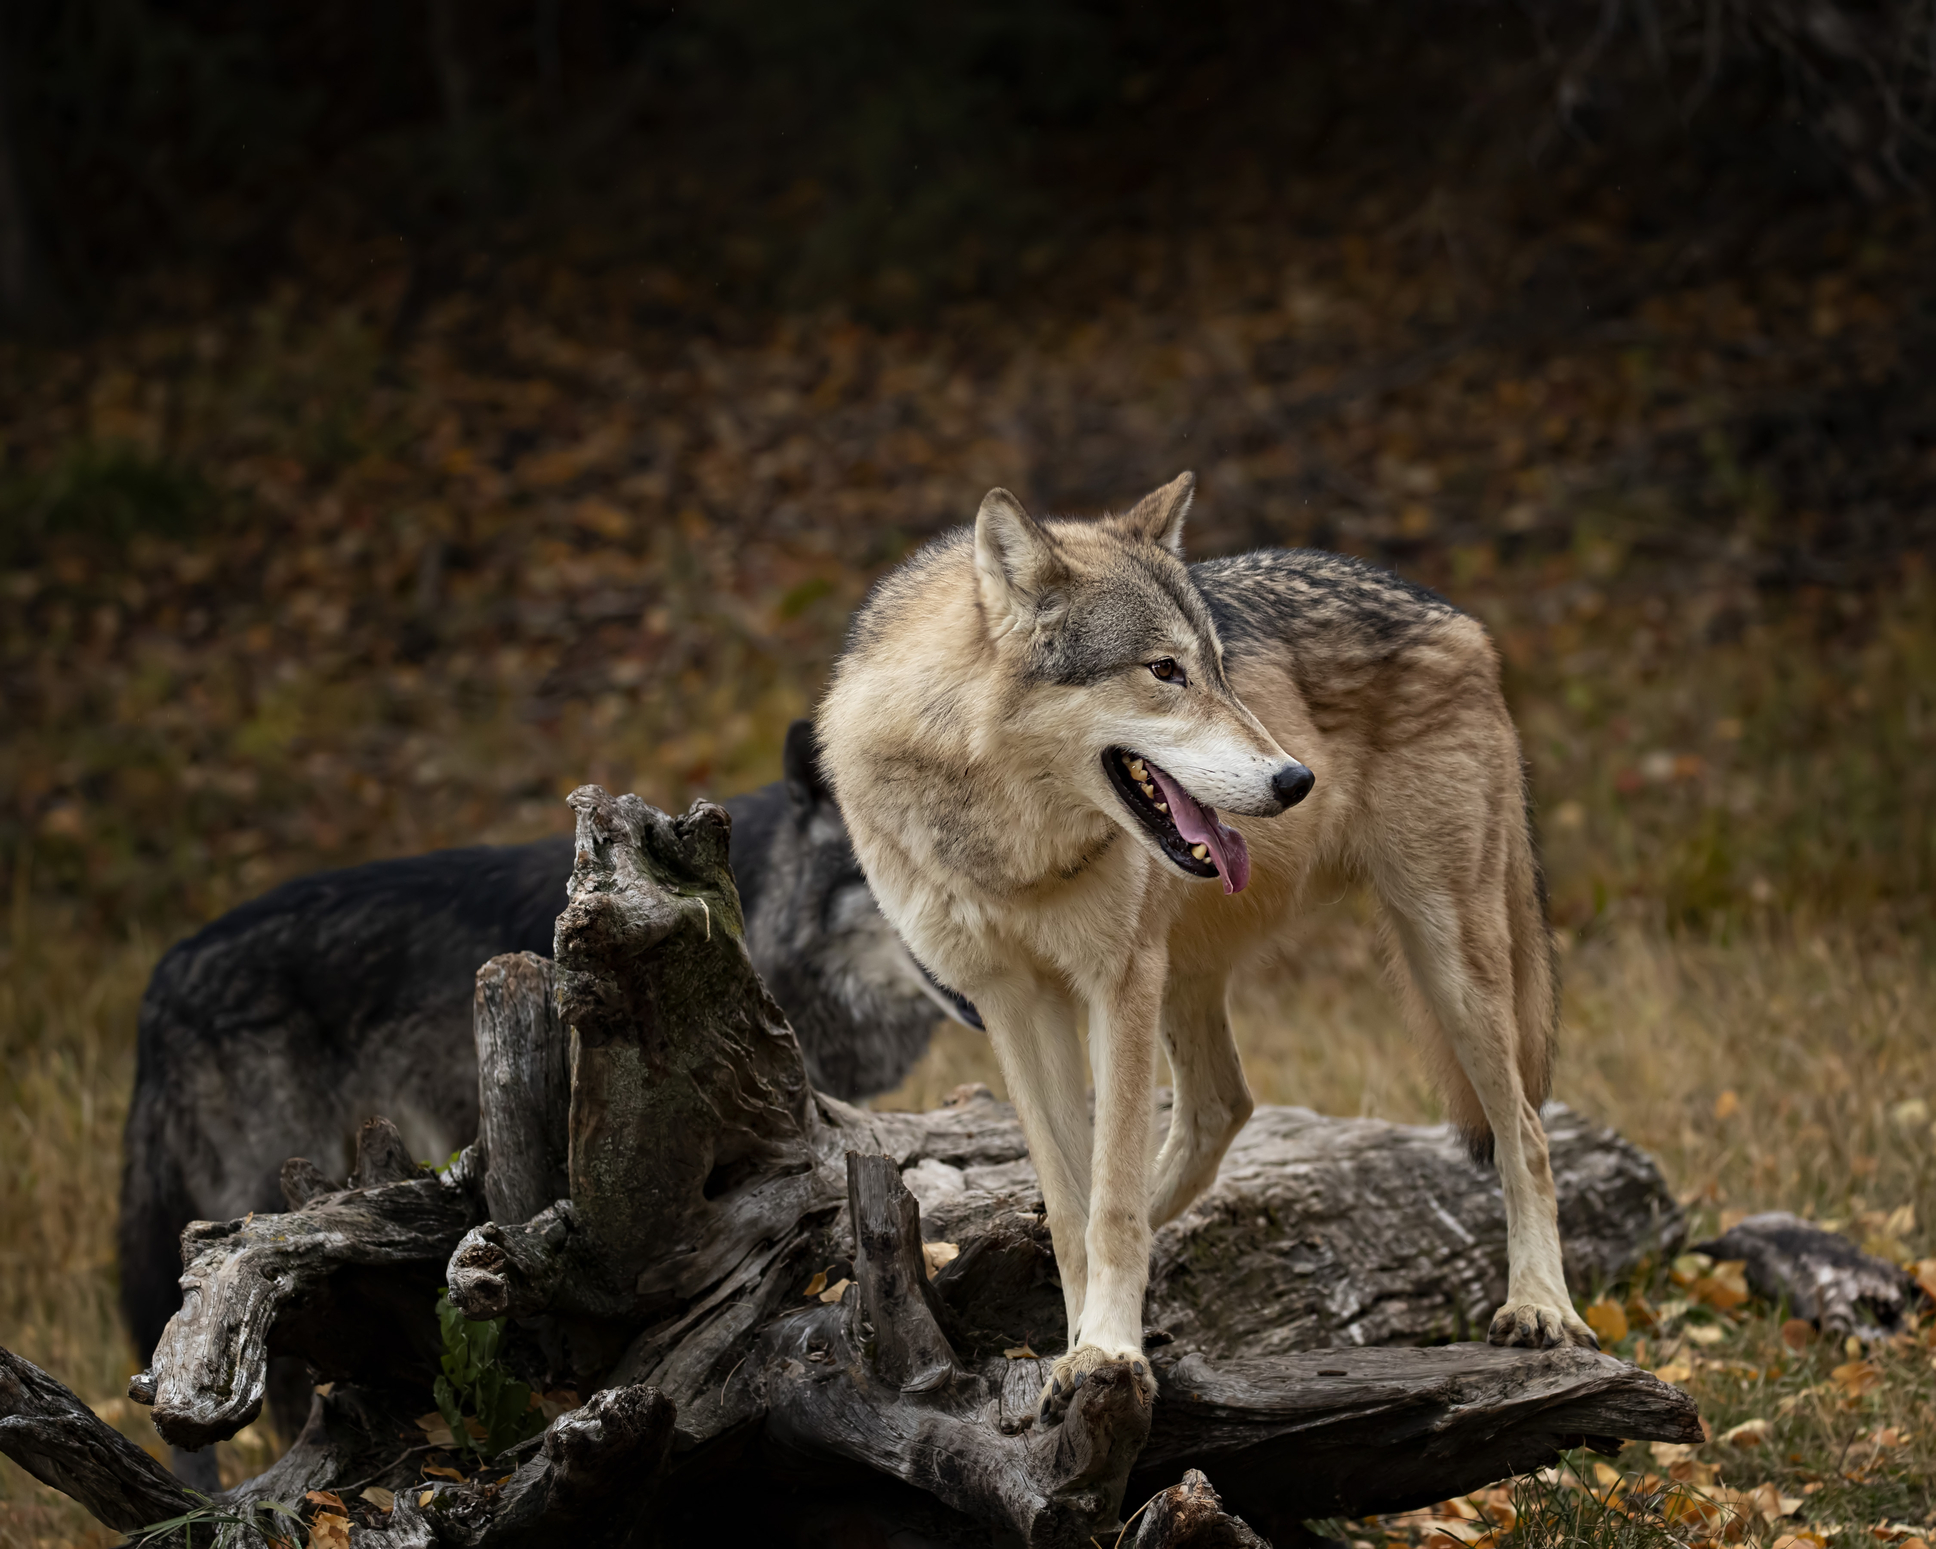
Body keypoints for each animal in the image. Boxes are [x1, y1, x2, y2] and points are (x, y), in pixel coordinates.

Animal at [809, 474, 1595, 1425]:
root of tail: (1454, 613)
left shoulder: (1116, 982)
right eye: (1164, 671)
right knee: (1224, 1103)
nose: (1297, 779)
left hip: (1446, 954)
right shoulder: (1011, 1002)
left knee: (1527, 1130)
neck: (1008, 847)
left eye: (1219, 667)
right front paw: (1082, 1334)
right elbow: (1076, 1203)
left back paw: (1542, 1307)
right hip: (1190, 972)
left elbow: (1109, 1198)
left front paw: (1107, 1347)